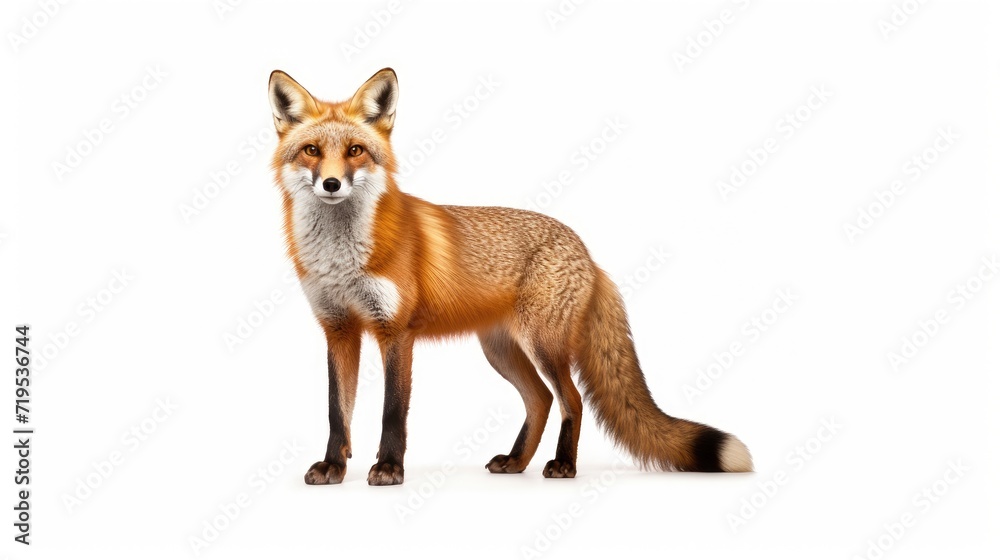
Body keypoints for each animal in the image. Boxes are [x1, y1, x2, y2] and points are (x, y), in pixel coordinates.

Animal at [267, 68, 753, 486]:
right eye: (312, 151)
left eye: (355, 150)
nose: (331, 185)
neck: (341, 260)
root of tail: (589, 254)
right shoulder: (338, 329)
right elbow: (337, 411)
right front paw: (333, 467)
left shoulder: (395, 332)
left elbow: (392, 412)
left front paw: (388, 468)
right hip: (501, 350)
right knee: (540, 399)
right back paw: (517, 461)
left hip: (543, 344)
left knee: (570, 399)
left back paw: (563, 465)